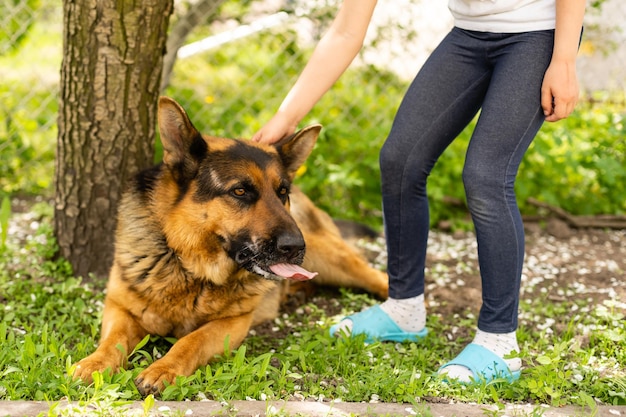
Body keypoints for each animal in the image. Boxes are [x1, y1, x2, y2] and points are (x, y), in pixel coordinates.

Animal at [72, 96, 386, 394]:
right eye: (240, 191)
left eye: (282, 192)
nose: (296, 246)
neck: (188, 266)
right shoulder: (119, 307)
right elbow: (113, 340)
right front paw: (95, 363)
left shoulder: (233, 324)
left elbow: (191, 340)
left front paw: (164, 368)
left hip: (335, 260)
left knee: (378, 278)